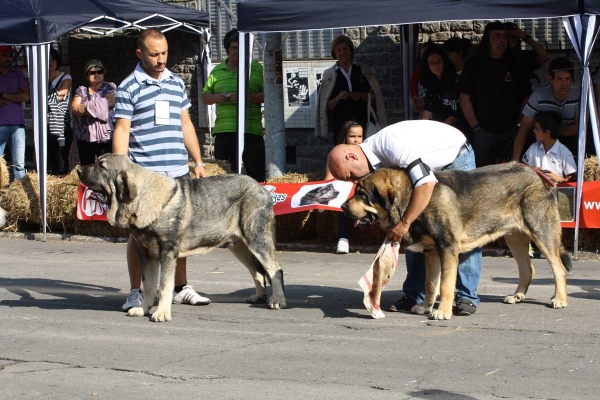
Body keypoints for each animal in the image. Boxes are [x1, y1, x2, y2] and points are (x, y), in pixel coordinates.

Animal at [76, 153, 288, 322]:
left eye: (101, 167)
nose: (78, 169)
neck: (141, 198)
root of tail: (262, 188)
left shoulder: (167, 253)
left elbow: (164, 286)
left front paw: (161, 313)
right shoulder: (146, 254)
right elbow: (149, 285)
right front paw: (143, 309)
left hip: (256, 238)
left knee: (274, 269)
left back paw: (277, 300)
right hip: (238, 246)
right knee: (257, 271)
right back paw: (259, 296)